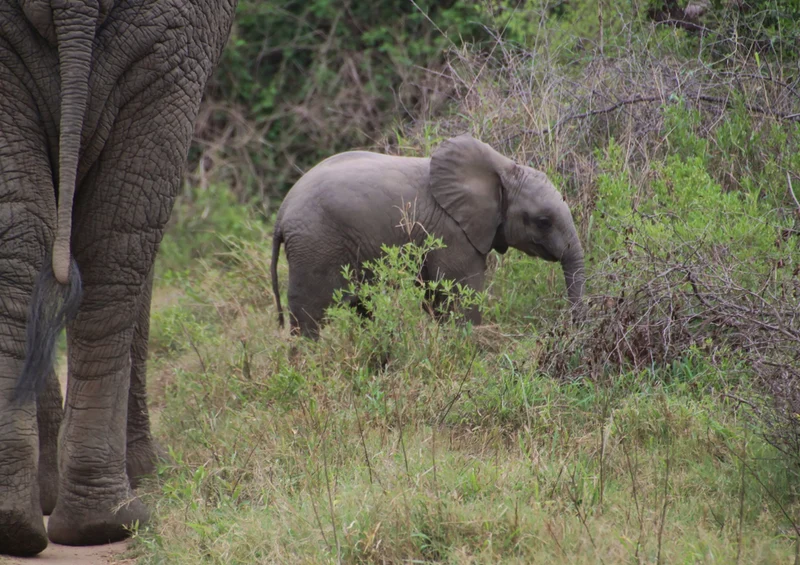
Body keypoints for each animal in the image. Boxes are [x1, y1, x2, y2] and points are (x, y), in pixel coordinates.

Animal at [270, 134, 585, 338]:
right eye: (544, 222)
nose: (567, 329)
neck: (503, 168)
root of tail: (281, 212)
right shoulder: (452, 233)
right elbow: (461, 297)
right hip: (316, 245)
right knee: (309, 316)